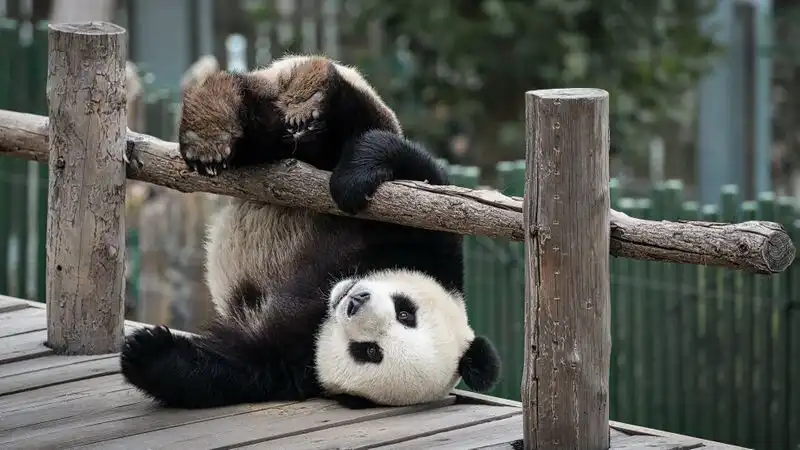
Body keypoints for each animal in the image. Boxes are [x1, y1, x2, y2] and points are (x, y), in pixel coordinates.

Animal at [119, 54, 501, 409]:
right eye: (406, 311)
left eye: (370, 352)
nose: (355, 301)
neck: (325, 299)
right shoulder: (431, 248)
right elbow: (418, 176)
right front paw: (352, 181)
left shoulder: (295, 364)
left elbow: (233, 367)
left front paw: (146, 352)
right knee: (328, 125)